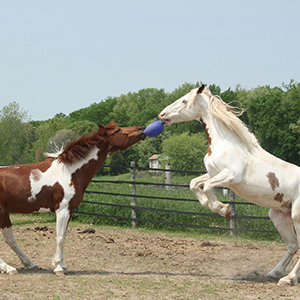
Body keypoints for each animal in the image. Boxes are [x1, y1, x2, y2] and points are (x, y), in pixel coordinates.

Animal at [0, 120, 145, 276]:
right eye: (118, 130)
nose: (142, 129)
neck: (69, 172)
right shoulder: (62, 210)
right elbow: (60, 238)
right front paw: (58, 267)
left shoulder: (69, 210)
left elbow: (63, 235)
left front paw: (62, 265)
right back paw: (8, 268)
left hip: (5, 214)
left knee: (10, 240)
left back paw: (27, 264)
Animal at [159, 84, 300, 286]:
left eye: (185, 100)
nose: (162, 114)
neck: (227, 143)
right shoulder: (213, 173)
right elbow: (195, 184)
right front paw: (217, 207)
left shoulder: (231, 176)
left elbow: (207, 187)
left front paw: (224, 210)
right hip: (279, 215)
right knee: (292, 245)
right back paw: (275, 273)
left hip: (297, 215)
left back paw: (288, 279)